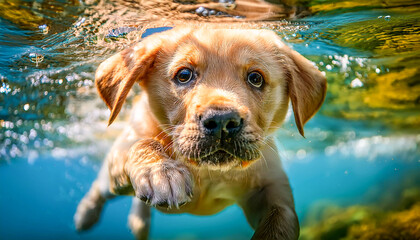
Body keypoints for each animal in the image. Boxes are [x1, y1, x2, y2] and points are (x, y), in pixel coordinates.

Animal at [74, 26, 326, 240]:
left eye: (256, 78)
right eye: (184, 75)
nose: (223, 121)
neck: (208, 172)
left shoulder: (274, 194)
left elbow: (279, 224)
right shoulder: (126, 144)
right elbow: (142, 144)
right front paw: (160, 171)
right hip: (112, 178)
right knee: (100, 187)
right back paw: (86, 215)